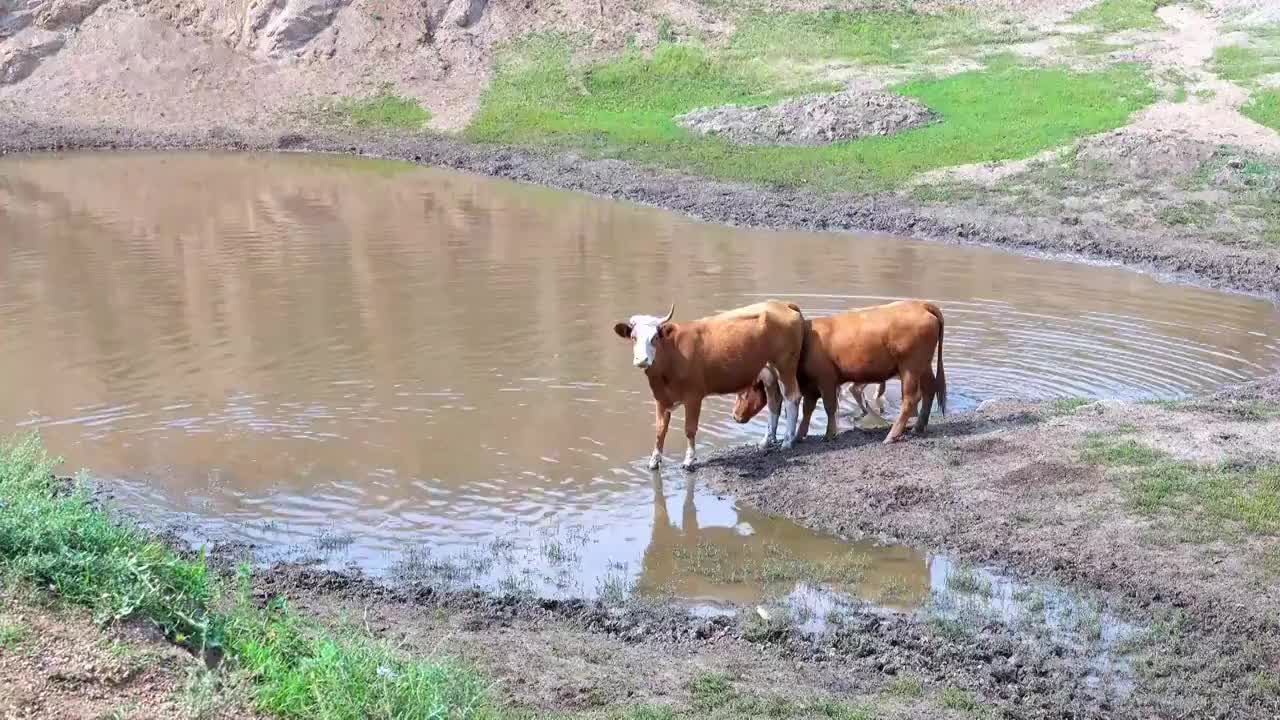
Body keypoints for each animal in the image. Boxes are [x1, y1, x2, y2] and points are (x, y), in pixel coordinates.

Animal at [614, 299, 803, 468]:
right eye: (633, 337)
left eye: (654, 338)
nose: (642, 360)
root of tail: (782, 304)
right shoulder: (661, 398)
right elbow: (660, 430)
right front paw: (654, 461)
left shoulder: (693, 396)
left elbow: (689, 429)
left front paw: (689, 460)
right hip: (769, 370)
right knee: (774, 400)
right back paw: (767, 441)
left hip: (785, 366)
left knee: (792, 398)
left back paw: (787, 441)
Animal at [732, 298, 942, 443]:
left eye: (743, 393)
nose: (735, 416)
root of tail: (921, 304)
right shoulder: (810, 385)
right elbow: (807, 409)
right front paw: (800, 435)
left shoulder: (826, 380)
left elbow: (829, 406)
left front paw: (830, 433)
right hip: (924, 366)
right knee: (929, 390)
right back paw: (918, 427)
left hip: (910, 368)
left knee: (911, 399)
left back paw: (892, 435)